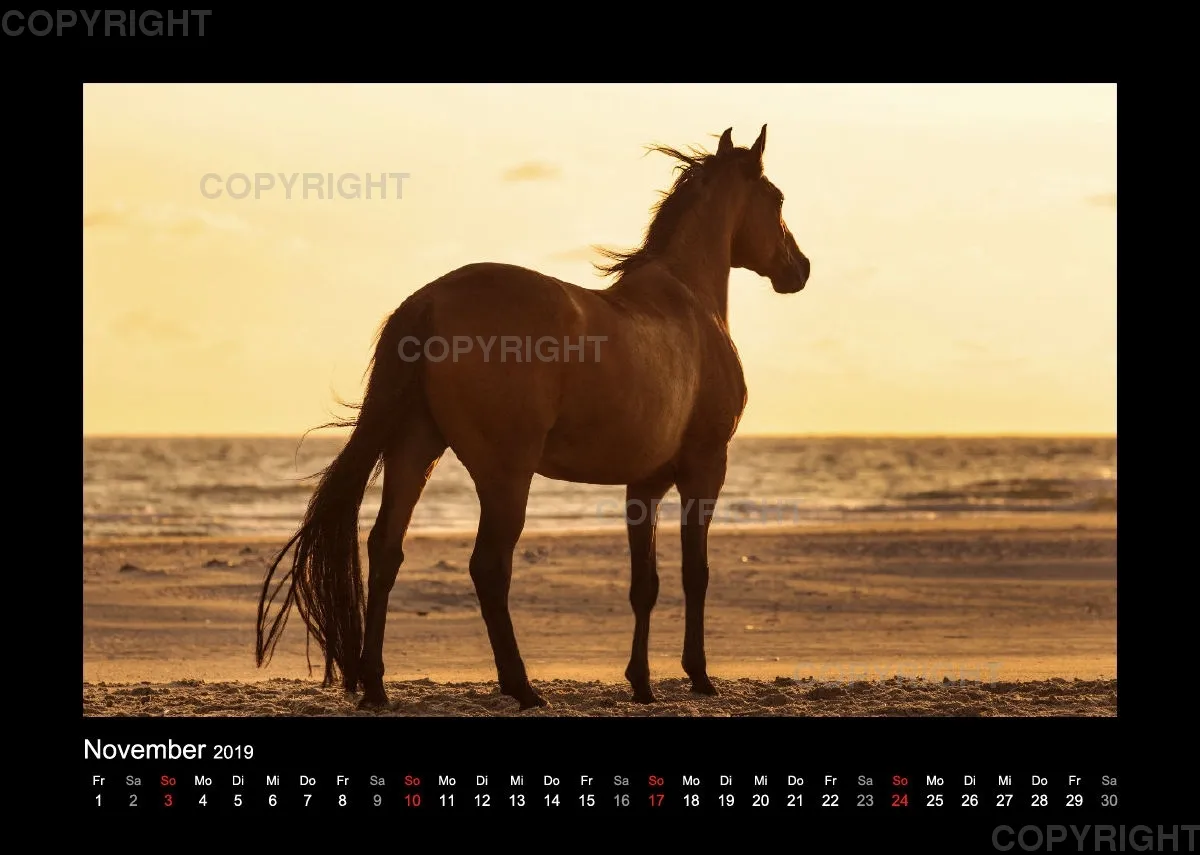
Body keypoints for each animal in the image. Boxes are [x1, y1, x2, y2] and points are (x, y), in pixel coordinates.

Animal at [256, 124, 811, 710]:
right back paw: (521, 687)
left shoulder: (644, 485)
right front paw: (699, 675)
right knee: (488, 566)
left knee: (385, 550)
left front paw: (640, 683)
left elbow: (645, 585)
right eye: (776, 199)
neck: (687, 302)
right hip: (505, 474)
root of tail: (430, 303)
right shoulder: (705, 469)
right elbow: (694, 573)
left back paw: (377, 687)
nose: (799, 268)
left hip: (414, 451)